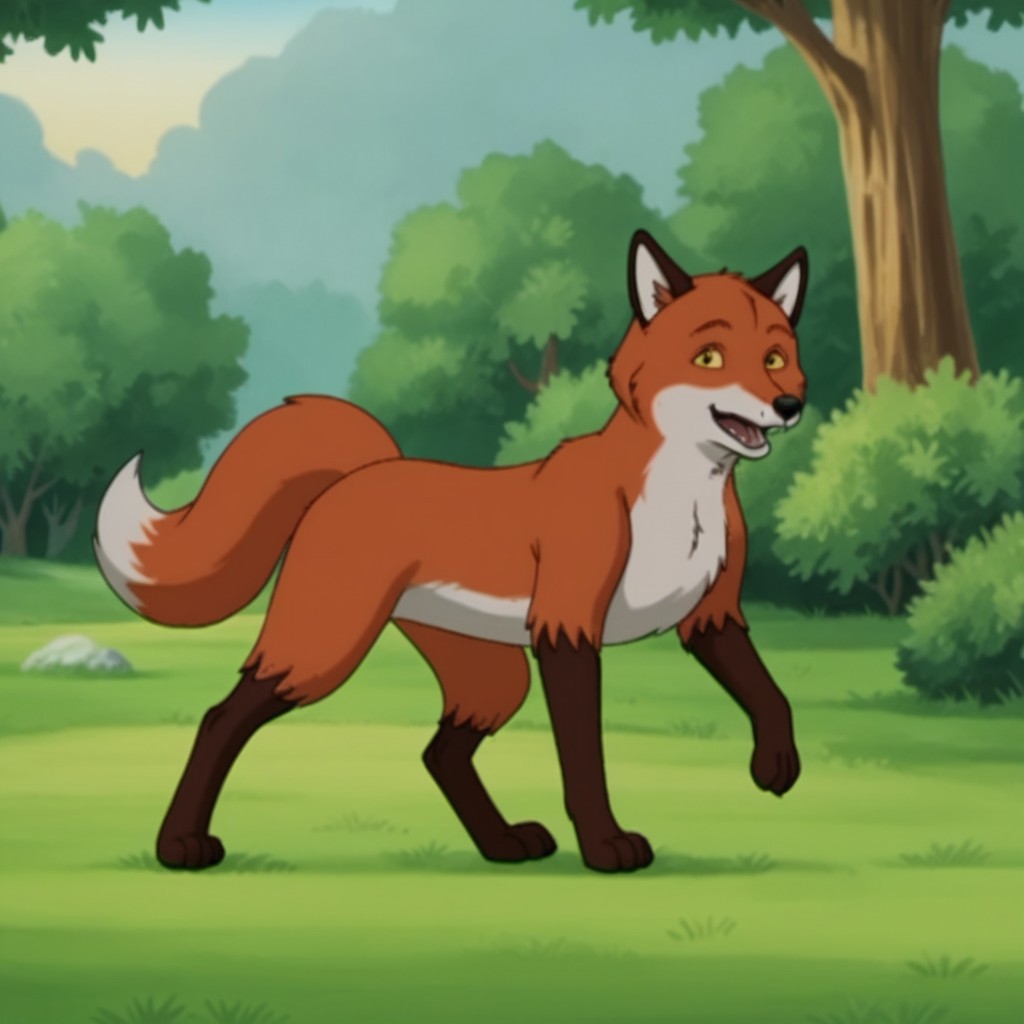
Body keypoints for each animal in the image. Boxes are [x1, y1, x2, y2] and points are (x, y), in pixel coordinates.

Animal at [94, 230, 807, 874]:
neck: (682, 498)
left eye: (775, 357)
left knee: (440, 754)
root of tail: (366, 469)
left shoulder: (712, 616)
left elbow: (772, 695)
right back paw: (180, 845)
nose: (789, 404)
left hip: (492, 677)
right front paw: (606, 847)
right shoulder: (568, 628)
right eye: (710, 357)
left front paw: (776, 765)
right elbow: (585, 761)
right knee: (221, 718)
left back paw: (503, 844)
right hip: (323, 649)